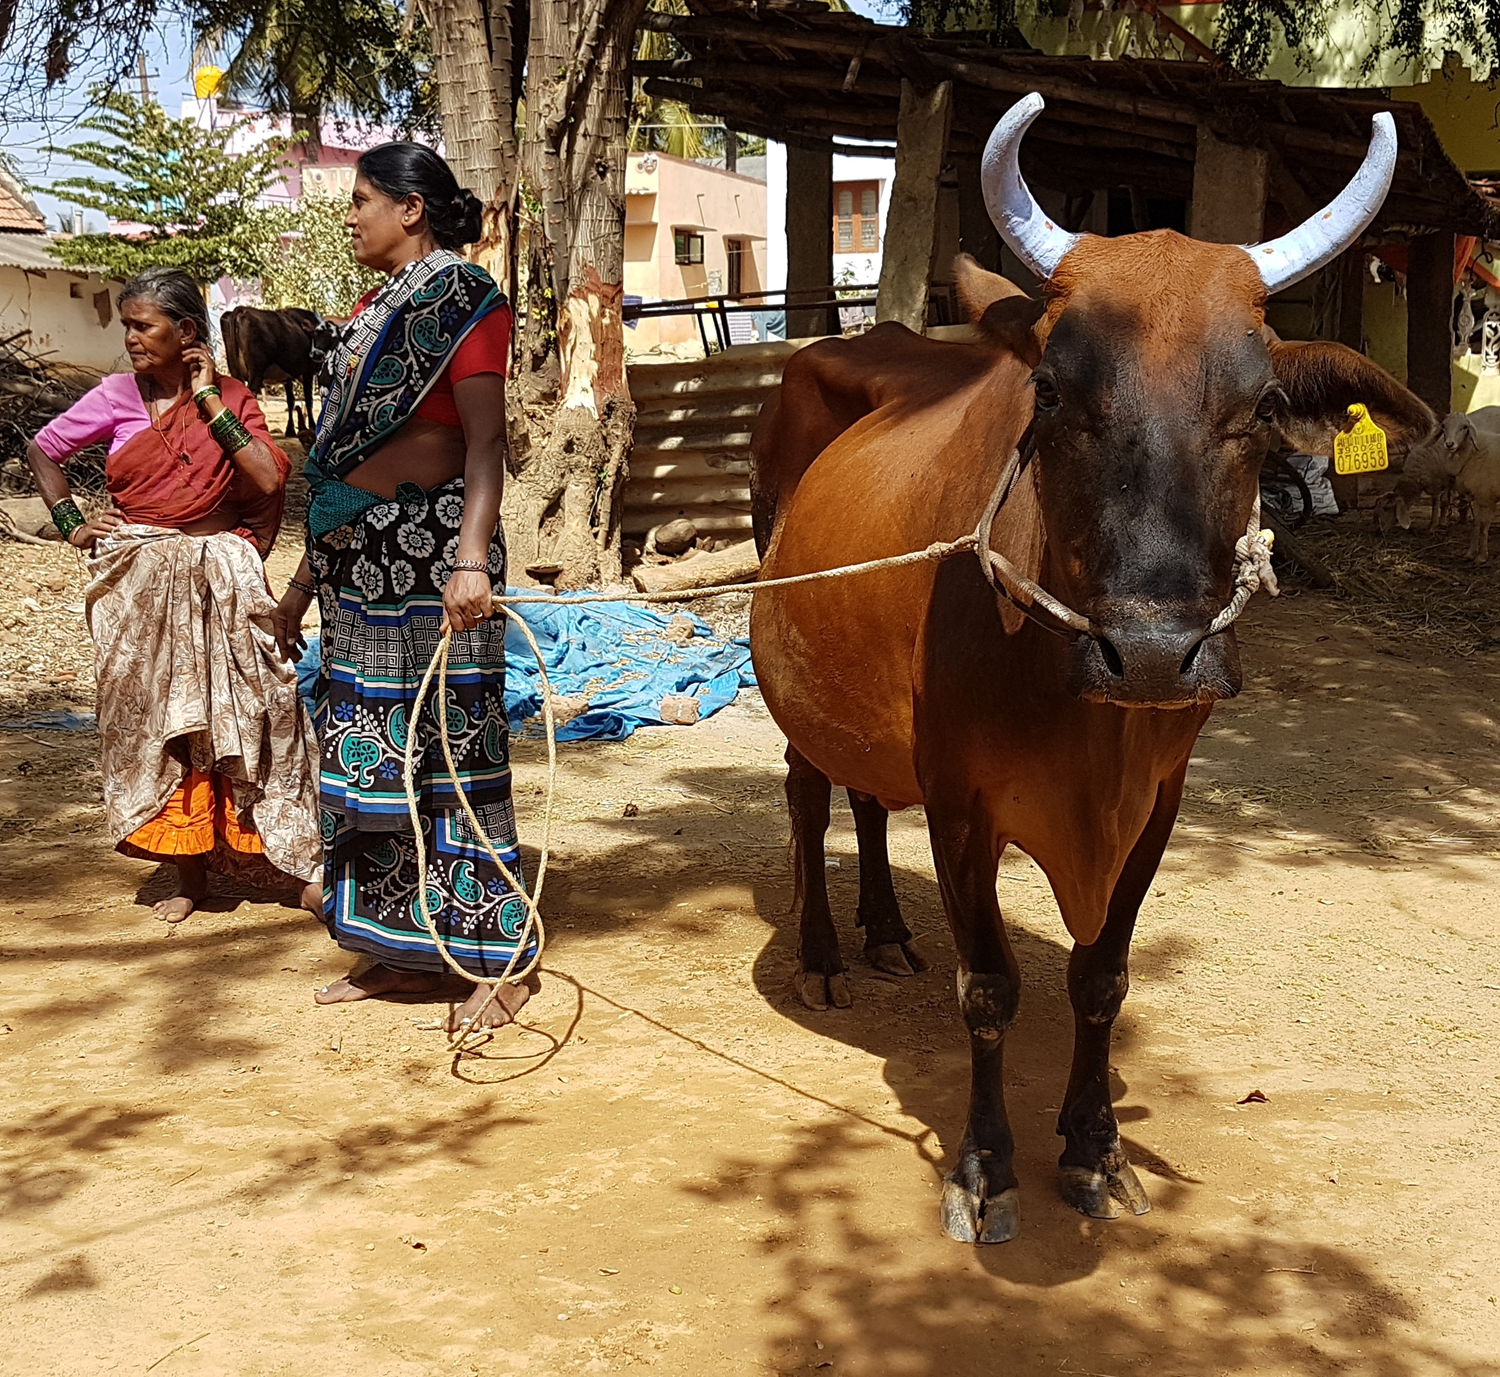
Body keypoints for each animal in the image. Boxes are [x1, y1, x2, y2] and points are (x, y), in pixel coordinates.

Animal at [221, 306, 321, 437]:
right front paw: (313, 426)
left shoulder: (287, 378)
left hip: (235, 371)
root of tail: (242, 310)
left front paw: (290, 430)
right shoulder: (308, 371)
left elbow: (291, 401)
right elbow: (309, 399)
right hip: (256, 371)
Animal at [749, 96, 1431, 1245]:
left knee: (868, 798)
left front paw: (1093, 1146)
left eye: (1259, 408)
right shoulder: (963, 799)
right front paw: (986, 1169)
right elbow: (990, 986)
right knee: (811, 791)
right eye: (1054, 392)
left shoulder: (1159, 799)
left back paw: (886, 931)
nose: (1152, 653)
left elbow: (1101, 977)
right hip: (797, 680)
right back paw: (826, 953)